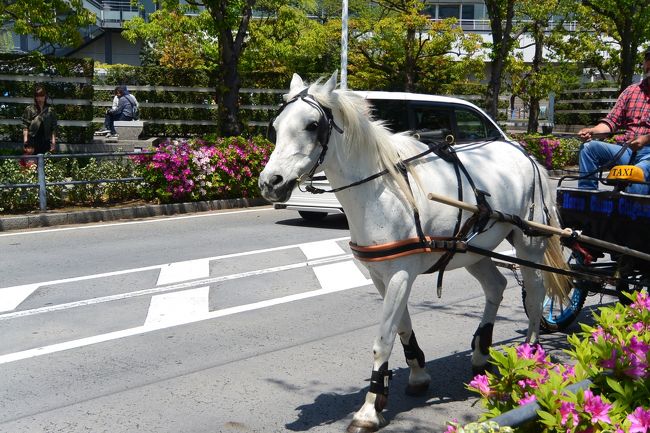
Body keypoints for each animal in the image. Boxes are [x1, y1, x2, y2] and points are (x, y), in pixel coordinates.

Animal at [258, 71, 568, 432]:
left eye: (311, 125)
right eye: (276, 126)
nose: (270, 182)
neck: (381, 191)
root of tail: (525, 154)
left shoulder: (400, 273)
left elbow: (383, 340)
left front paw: (369, 408)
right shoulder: (381, 275)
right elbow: (402, 328)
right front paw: (417, 375)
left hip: (529, 243)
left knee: (535, 293)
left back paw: (530, 353)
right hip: (471, 250)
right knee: (496, 286)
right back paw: (480, 352)